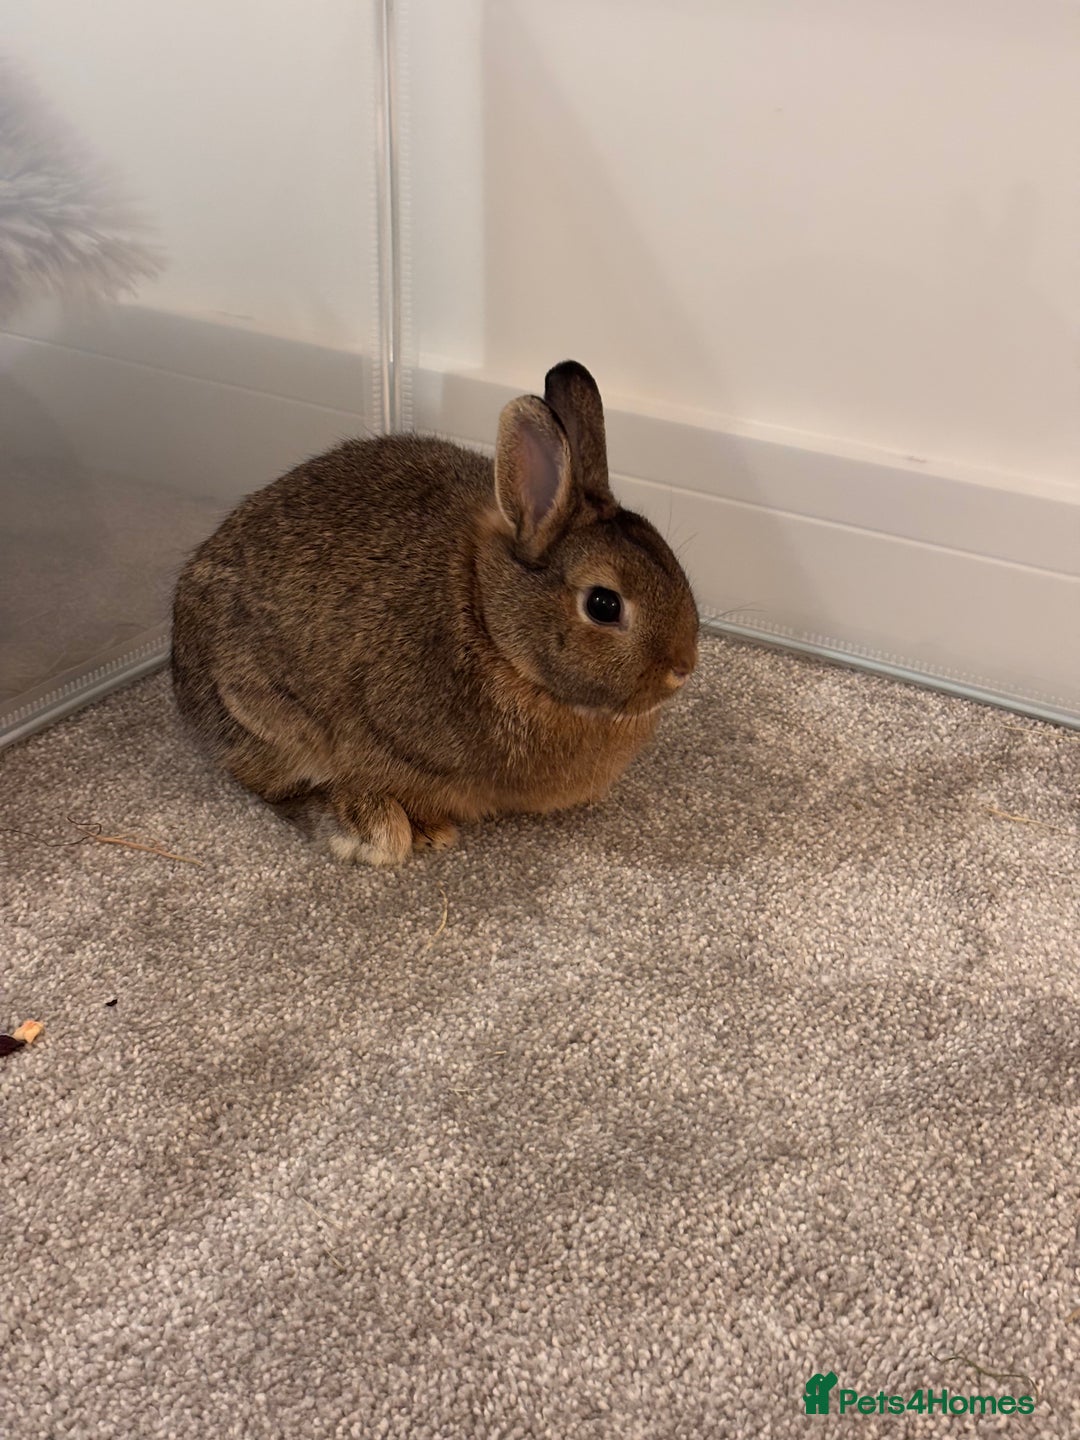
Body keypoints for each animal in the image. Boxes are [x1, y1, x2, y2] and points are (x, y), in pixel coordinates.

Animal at [171, 360, 699, 864]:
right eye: (603, 605)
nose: (683, 668)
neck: (489, 621)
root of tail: (181, 670)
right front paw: (425, 830)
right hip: (269, 717)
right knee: (269, 784)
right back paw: (369, 830)